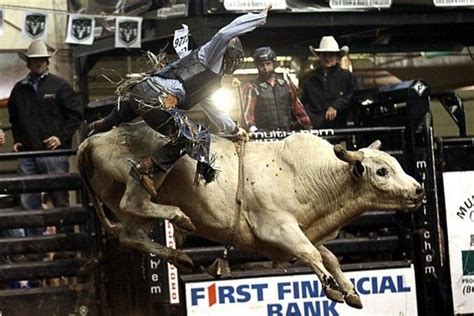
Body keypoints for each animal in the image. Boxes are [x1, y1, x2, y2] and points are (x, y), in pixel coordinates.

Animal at [76, 121, 424, 308]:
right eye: (381, 171)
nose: (419, 189)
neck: (310, 176)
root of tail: (95, 138)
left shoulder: (307, 229)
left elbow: (329, 256)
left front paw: (351, 292)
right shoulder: (277, 228)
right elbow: (313, 254)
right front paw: (331, 289)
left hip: (125, 204)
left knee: (130, 235)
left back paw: (181, 257)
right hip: (139, 181)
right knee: (134, 204)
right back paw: (180, 219)